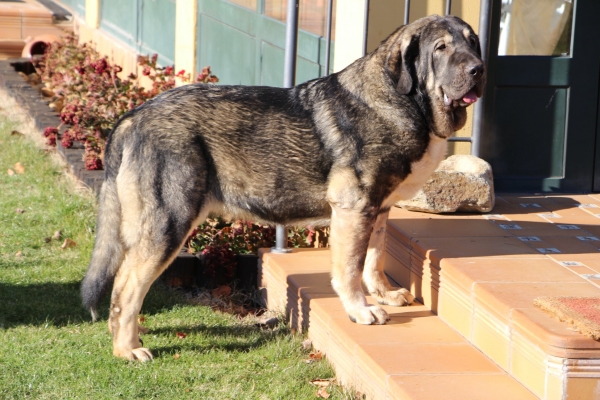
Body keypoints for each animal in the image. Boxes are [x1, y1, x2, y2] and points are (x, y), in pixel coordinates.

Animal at [81, 14, 482, 360]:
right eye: (441, 48)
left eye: (473, 42)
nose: (479, 69)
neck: (402, 100)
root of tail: (132, 117)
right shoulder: (354, 208)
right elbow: (350, 268)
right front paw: (360, 310)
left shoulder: (378, 209)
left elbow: (374, 258)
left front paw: (381, 295)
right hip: (169, 223)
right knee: (125, 288)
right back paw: (127, 349)